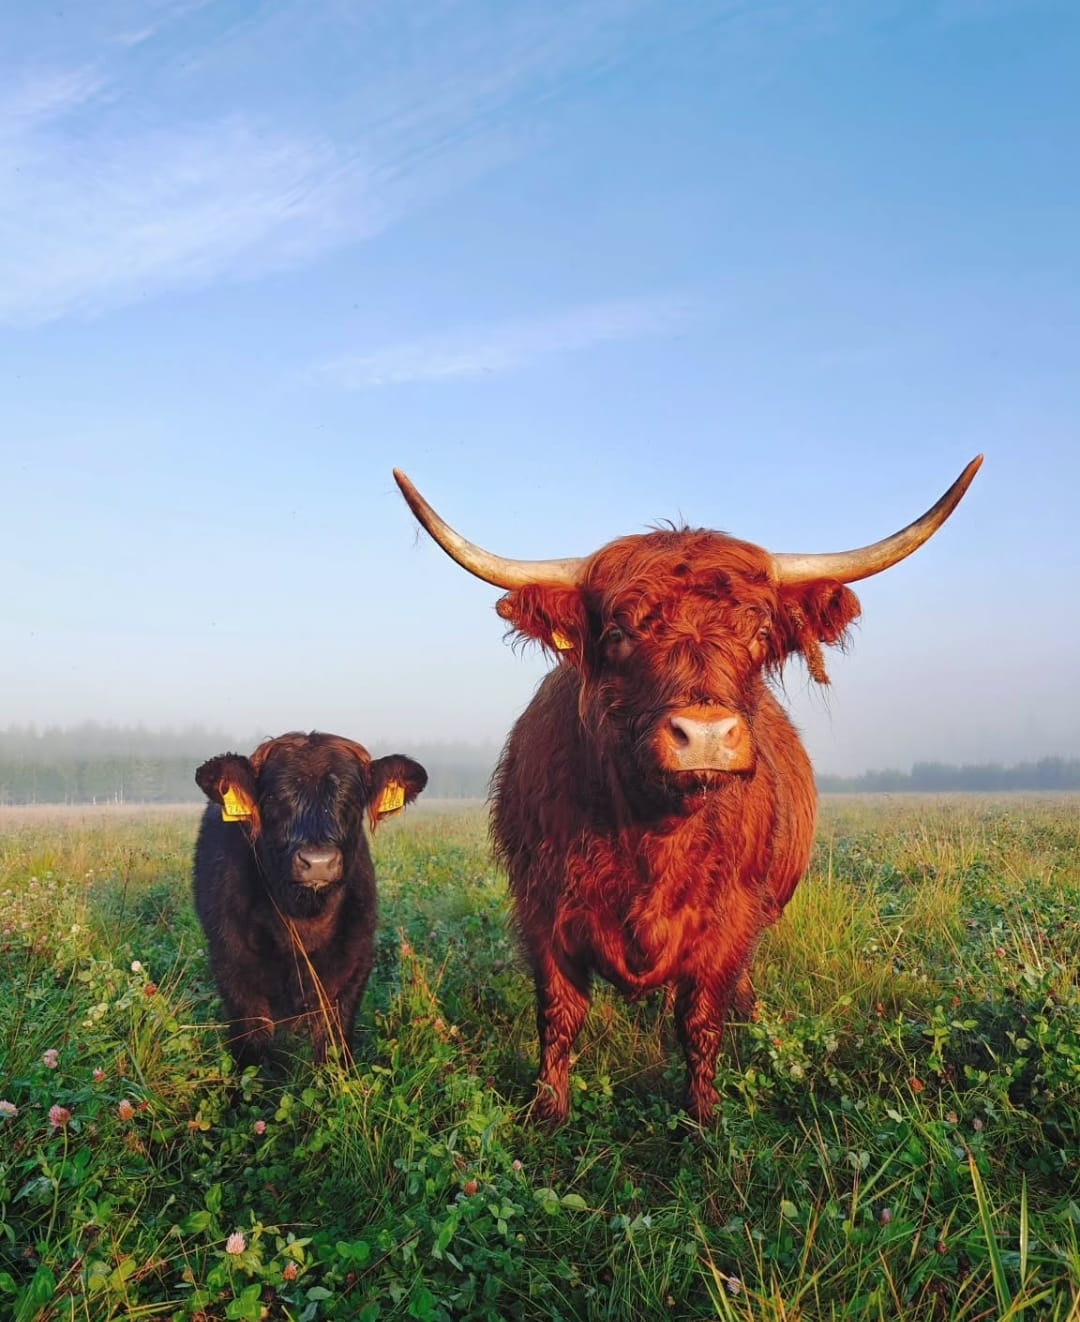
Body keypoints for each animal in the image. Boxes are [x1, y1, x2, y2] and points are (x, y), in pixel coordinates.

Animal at [193, 731, 427, 1069]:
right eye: (272, 798)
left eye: (353, 798)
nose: (318, 862)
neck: (304, 917)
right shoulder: (232, 967)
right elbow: (253, 1042)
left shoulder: (354, 967)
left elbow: (333, 1040)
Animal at [393, 458, 982, 1124]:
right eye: (619, 631)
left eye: (759, 630)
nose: (704, 736)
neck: (652, 830)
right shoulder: (543, 908)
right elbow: (559, 1016)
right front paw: (548, 1112)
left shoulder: (730, 917)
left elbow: (700, 1019)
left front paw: (702, 1119)